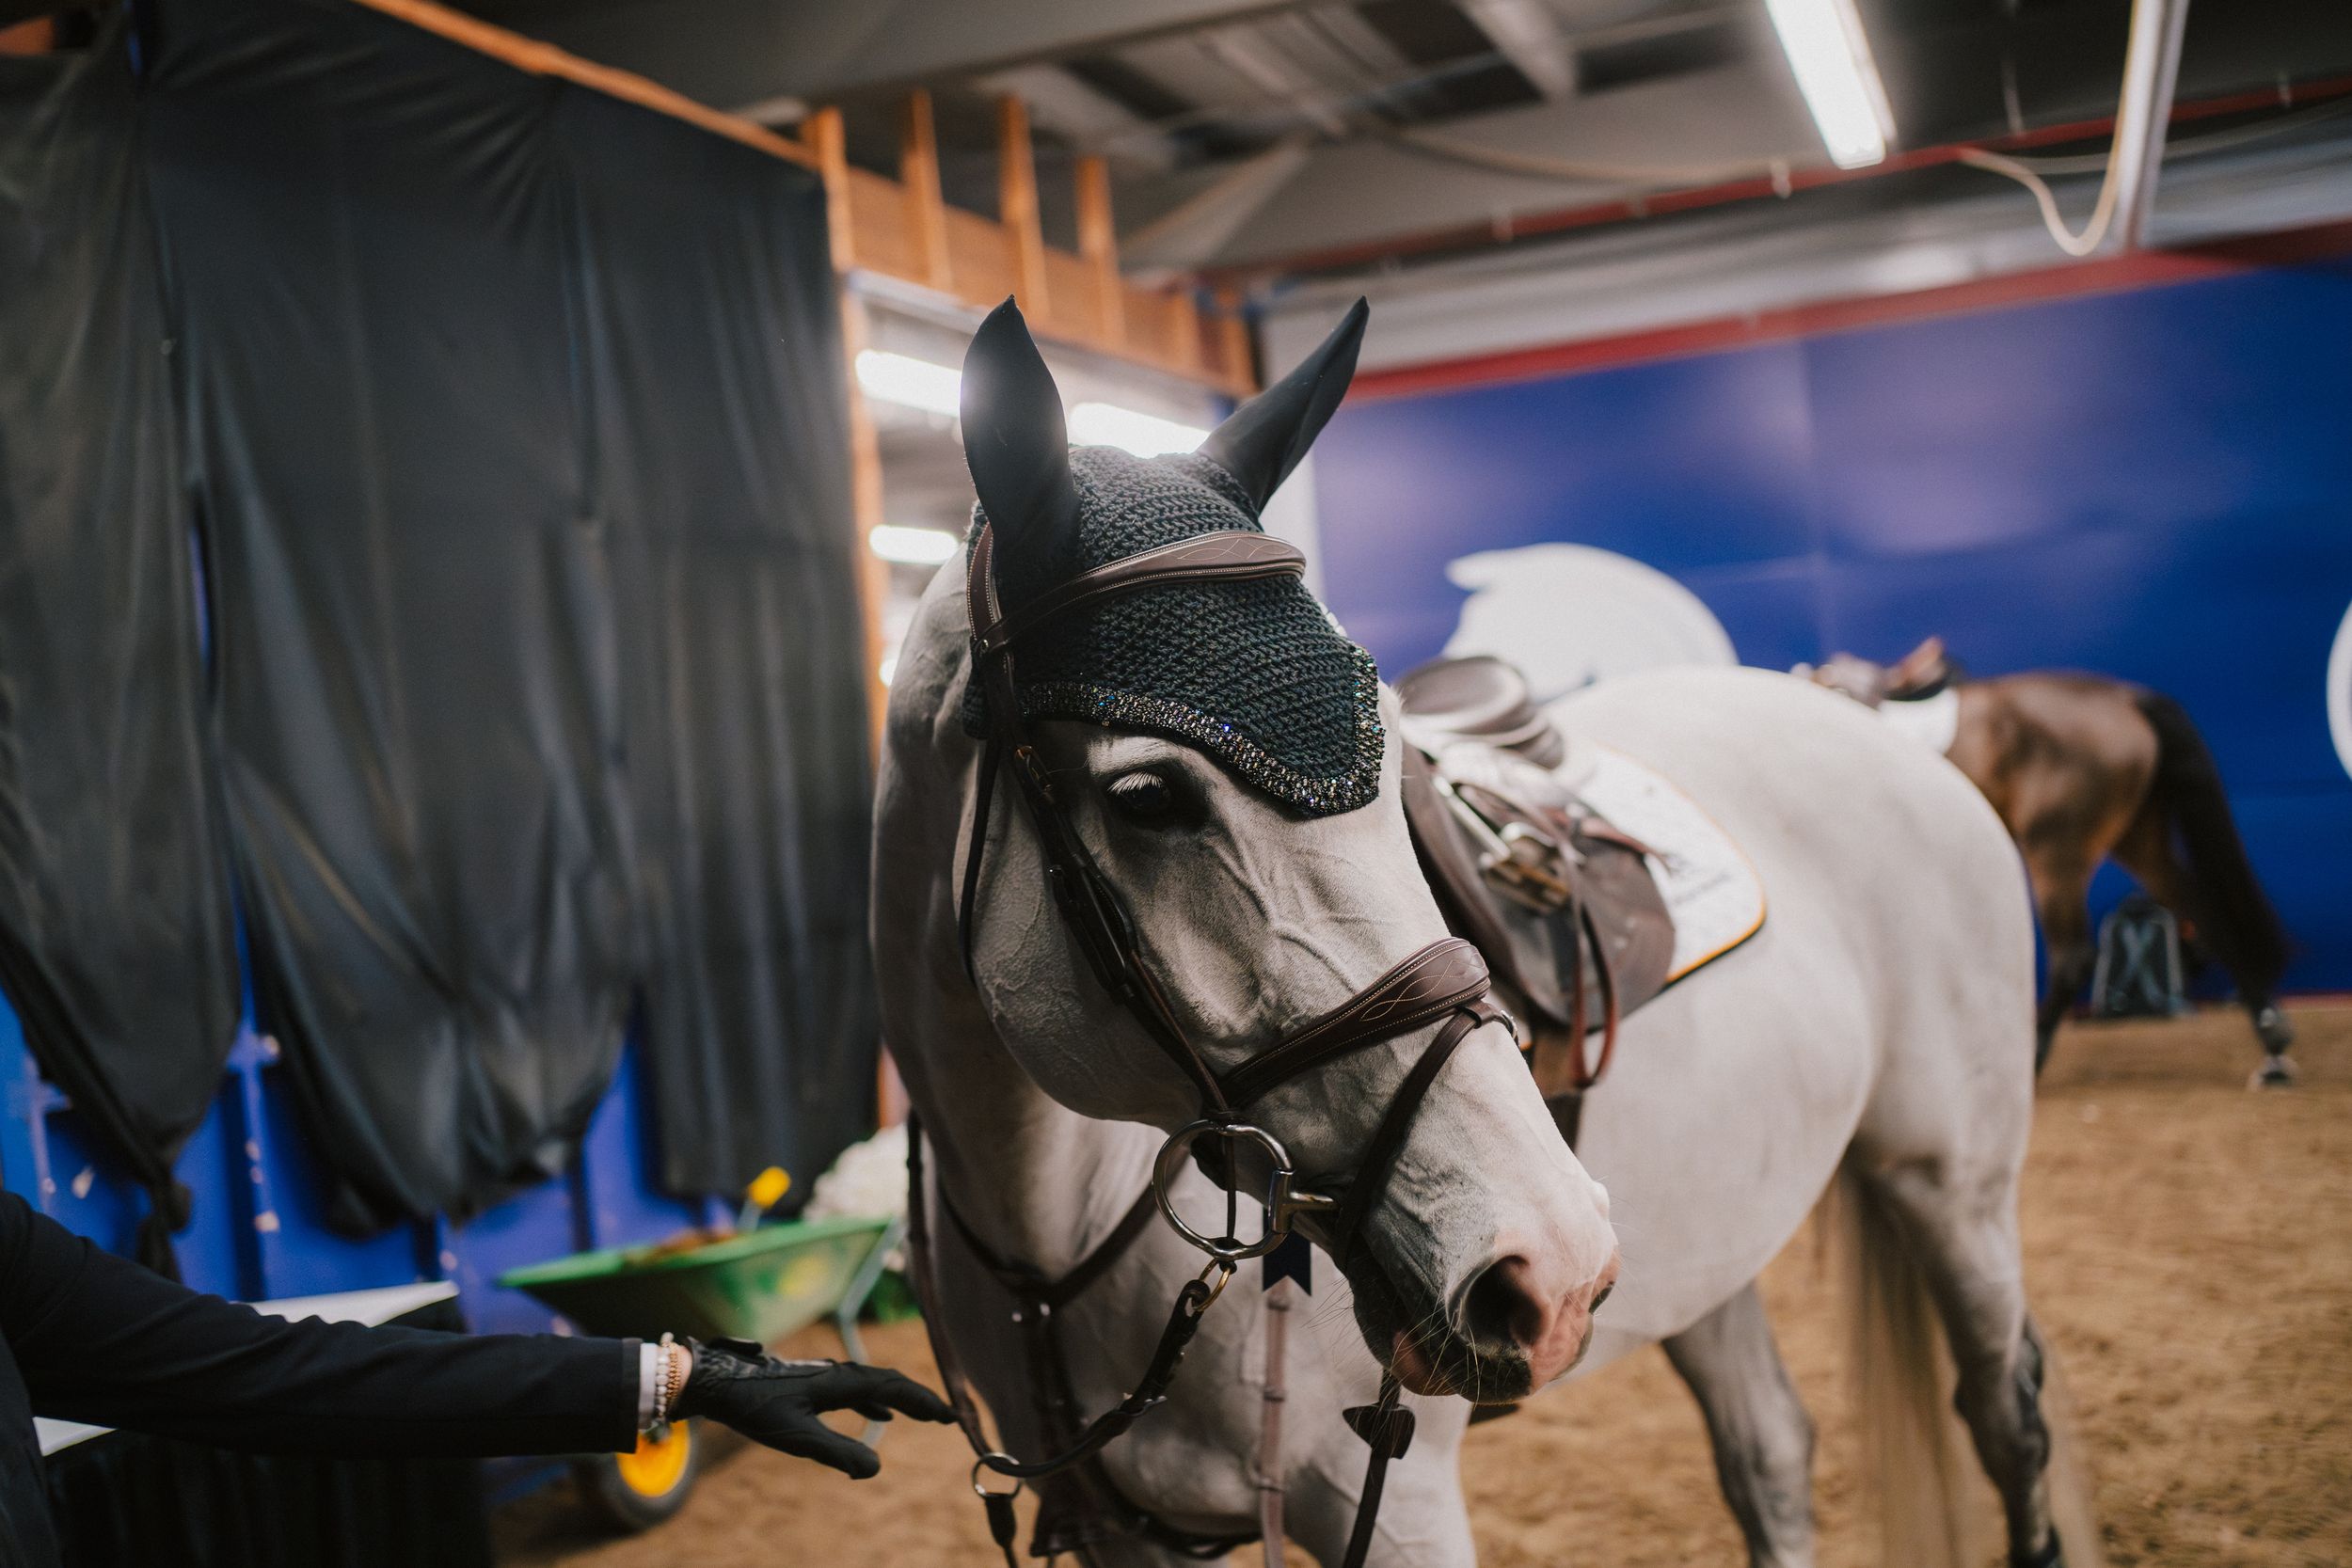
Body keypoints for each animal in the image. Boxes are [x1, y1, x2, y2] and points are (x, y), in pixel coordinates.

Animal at [875, 302, 2086, 1568]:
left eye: (1396, 753)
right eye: (1146, 794)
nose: (1547, 1256)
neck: (1047, 1232)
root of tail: (1869, 718)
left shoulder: (1391, 1503)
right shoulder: (1124, 1534)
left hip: (1951, 1184)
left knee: (2004, 1410)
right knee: (1771, 1451)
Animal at [1805, 638, 2295, 1085]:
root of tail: (2125, 697)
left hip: (2056, 851)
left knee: (2073, 956)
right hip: (2138, 838)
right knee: (2204, 913)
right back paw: (2271, 1036)